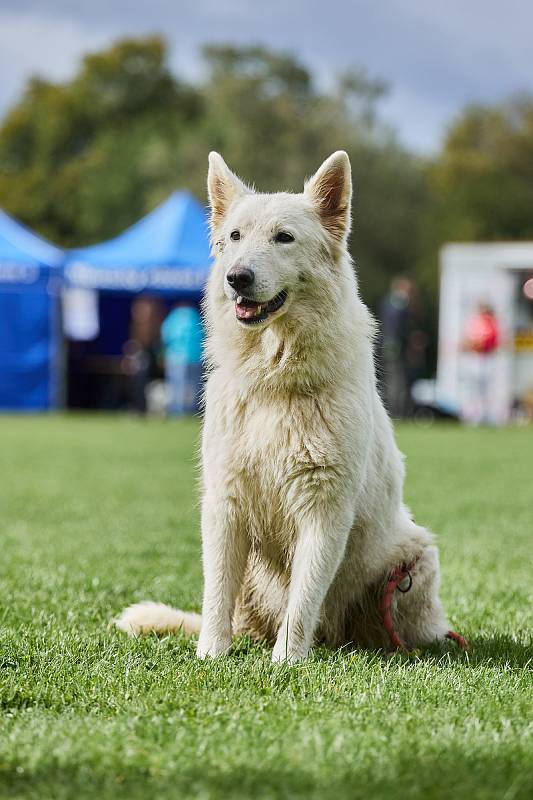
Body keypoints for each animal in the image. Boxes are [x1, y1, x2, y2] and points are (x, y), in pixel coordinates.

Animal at [116, 150, 466, 664]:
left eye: (284, 237)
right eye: (235, 237)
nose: (236, 278)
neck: (275, 380)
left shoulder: (323, 510)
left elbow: (303, 597)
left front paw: (287, 661)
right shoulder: (225, 505)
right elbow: (215, 593)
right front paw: (211, 654)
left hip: (414, 561)